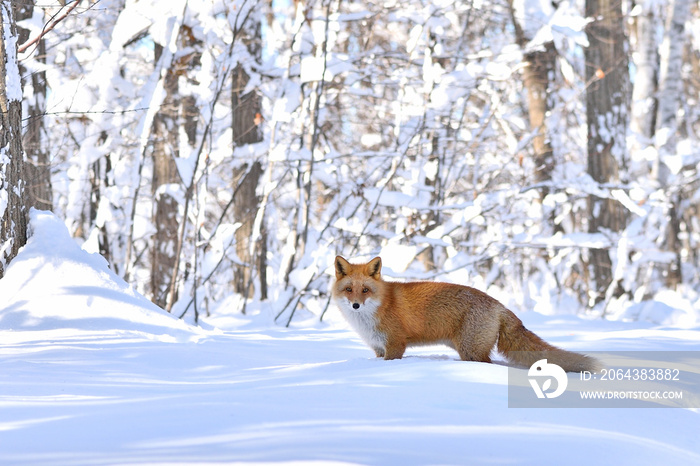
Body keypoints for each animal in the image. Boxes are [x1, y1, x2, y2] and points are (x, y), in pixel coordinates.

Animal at [330, 256, 600, 374]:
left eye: (365, 290)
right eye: (349, 290)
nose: (356, 305)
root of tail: (499, 304)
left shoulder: (395, 345)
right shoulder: (379, 348)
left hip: (471, 351)